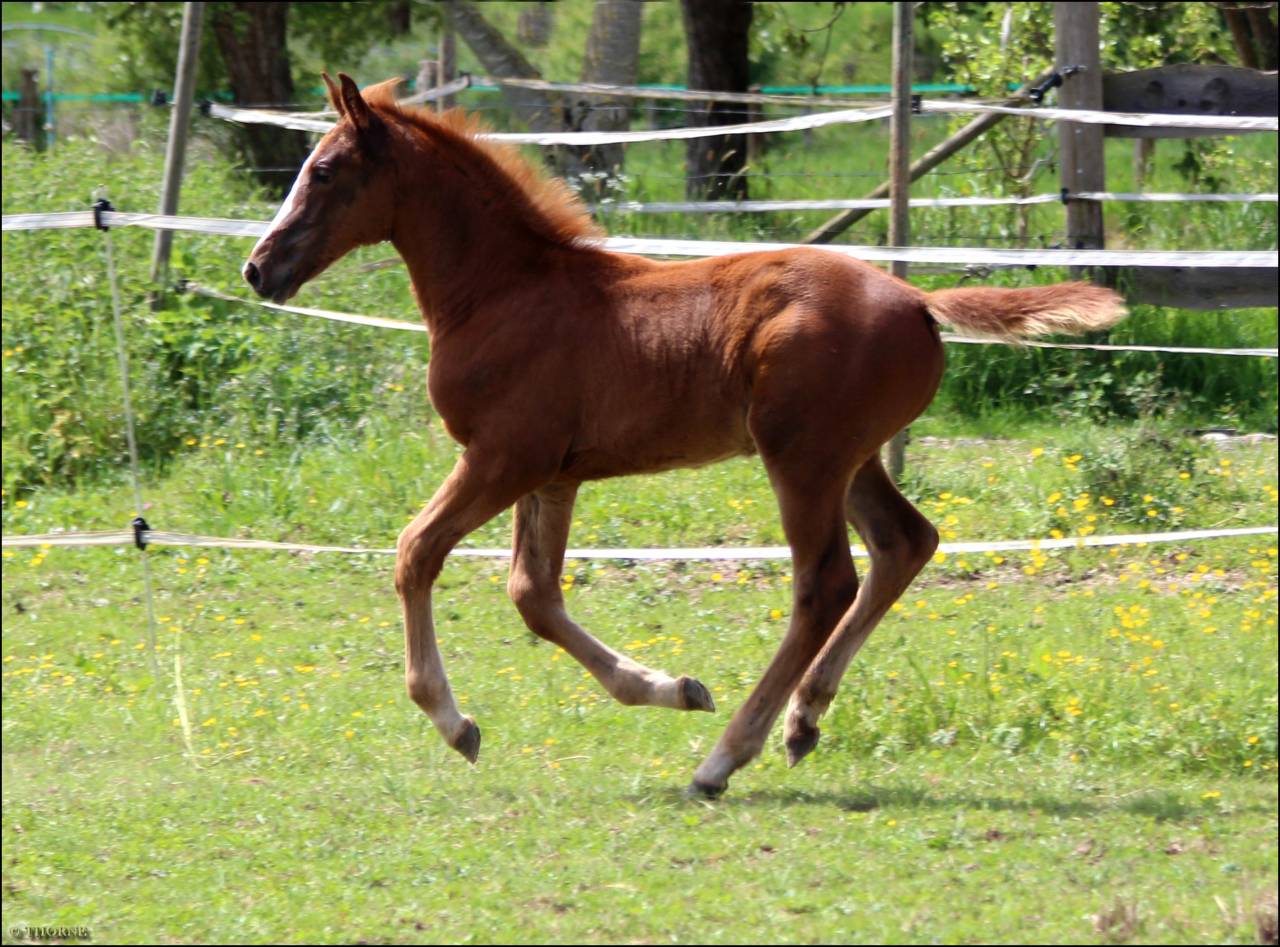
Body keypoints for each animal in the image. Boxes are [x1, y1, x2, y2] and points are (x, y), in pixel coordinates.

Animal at [243, 74, 1126, 798]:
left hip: (802, 458)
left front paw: (454, 721)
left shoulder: (501, 457)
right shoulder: (552, 474)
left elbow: (416, 551)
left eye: (324, 171)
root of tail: (916, 298)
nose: (258, 268)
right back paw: (803, 720)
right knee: (905, 542)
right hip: (853, 458)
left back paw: (723, 759)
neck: (503, 292)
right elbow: (534, 594)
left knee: (826, 582)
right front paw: (671, 687)